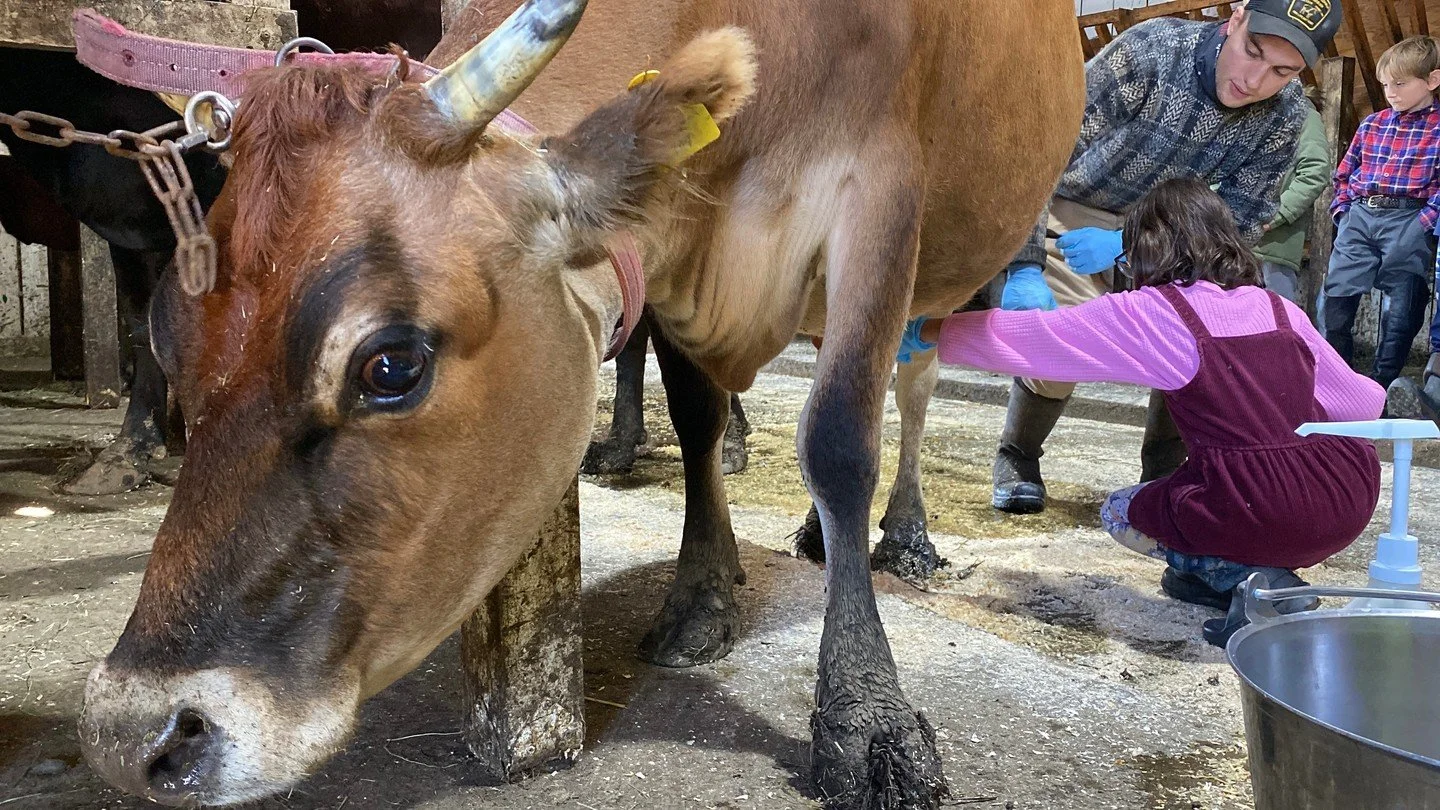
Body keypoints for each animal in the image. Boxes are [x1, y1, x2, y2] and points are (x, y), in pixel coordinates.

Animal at [77, 0, 1083, 807]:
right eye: (165, 333)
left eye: (391, 365)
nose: (132, 737)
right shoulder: (667, 259)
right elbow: (698, 419)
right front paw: (700, 599)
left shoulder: (881, 196)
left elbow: (838, 436)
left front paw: (867, 719)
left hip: (973, 251)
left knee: (911, 388)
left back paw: (905, 534)